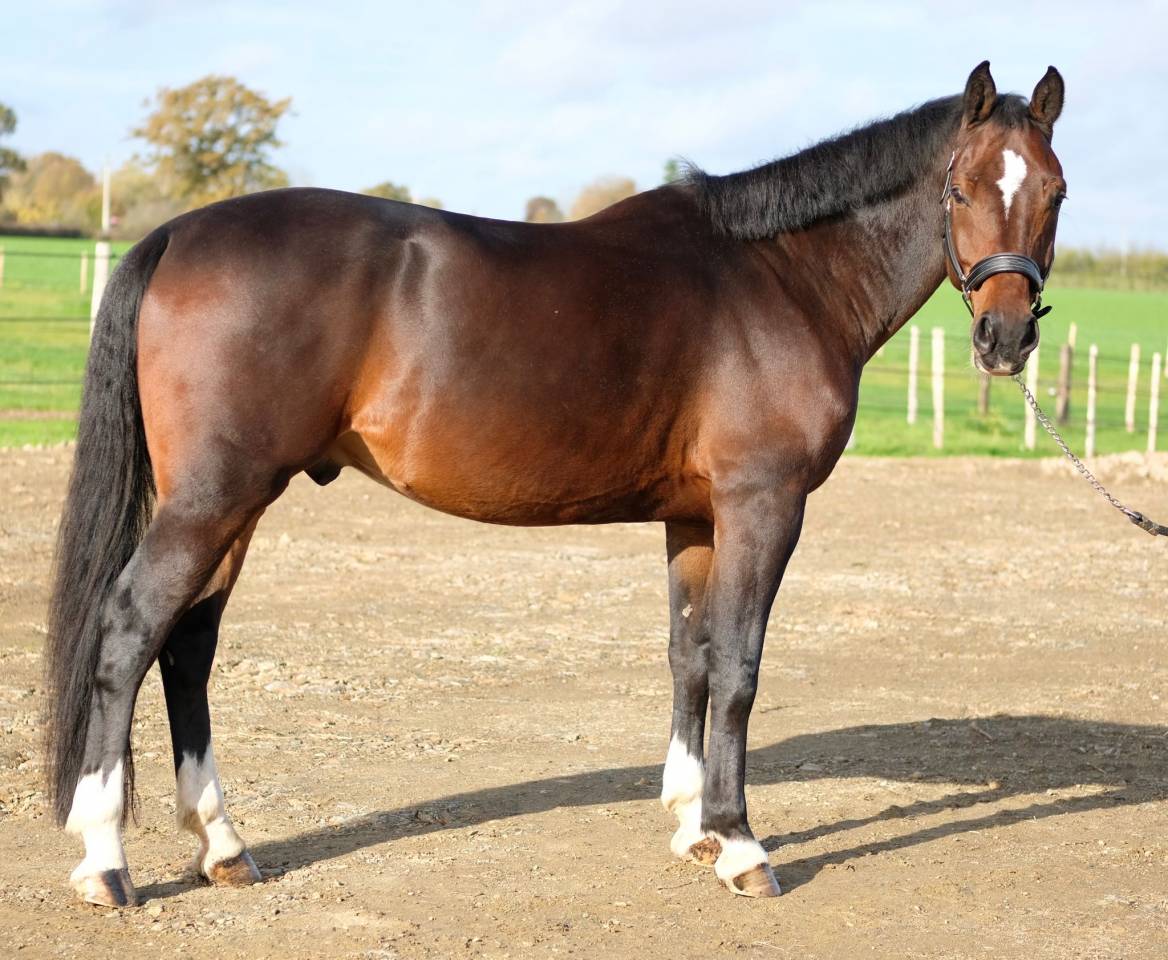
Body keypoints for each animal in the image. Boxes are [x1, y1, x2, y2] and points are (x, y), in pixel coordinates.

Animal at [44, 60, 1065, 906]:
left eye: (1053, 191)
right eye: (961, 187)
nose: (1005, 338)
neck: (780, 276)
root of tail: (177, 233)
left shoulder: (695, 519)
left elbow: (691, 657)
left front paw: (693, 827)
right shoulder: (762, 505)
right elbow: (739, 667)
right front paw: (741, 846)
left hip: (236, 503)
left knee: (189, 646)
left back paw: (222, 846)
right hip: (214, 499)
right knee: (130, 631)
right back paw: (104, 861)